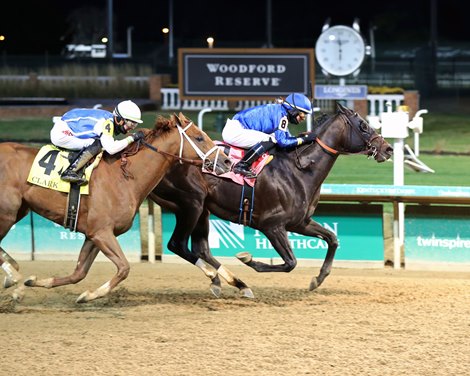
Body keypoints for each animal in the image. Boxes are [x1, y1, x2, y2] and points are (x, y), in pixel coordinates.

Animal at [0, 112, 231, 302]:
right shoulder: (102, 233)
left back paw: (14, 277)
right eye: (199, 137)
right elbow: (124, 269)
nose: (227, 161)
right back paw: (14, 278)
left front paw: (39, 282)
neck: (125, 178)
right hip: (7, 214)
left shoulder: (93, 235)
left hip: (19, 211)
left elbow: (78, 273)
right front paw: (91, 294)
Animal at [149, 103, 394, 296]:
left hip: (203, 208)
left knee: (201, 249)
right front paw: (247, 259)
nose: (388, 148)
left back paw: (230, 283)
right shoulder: (272, 225)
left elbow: (332, 238)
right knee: (177, 244)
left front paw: (318, 279)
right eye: (363, 126)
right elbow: (290, 263)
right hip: (192, 203)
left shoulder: (299, 223)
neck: (300, 169)